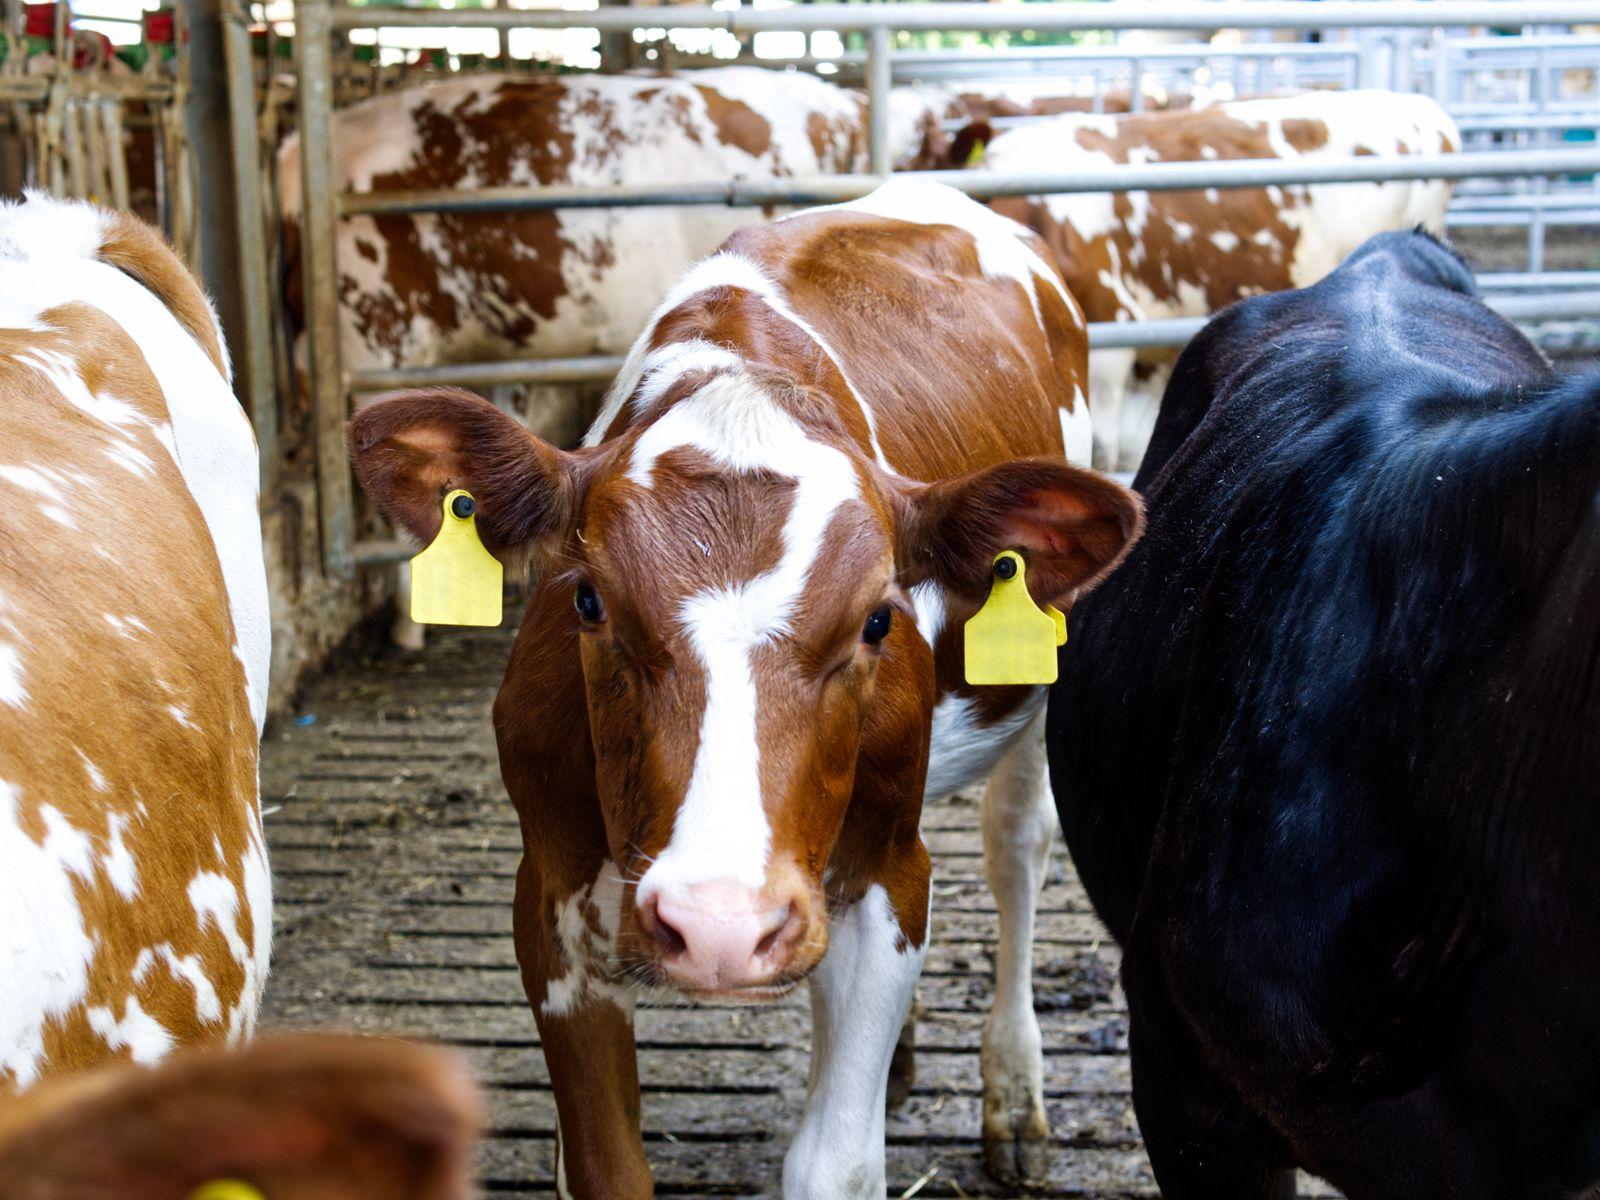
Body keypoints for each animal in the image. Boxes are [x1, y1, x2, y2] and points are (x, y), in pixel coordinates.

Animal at [347, 178, 1143, 1196]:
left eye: (878, 619)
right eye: (588, 599)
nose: (719, 927)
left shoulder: (888, 877)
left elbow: (831, 1164)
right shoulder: (551, 897)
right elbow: (605, 1164)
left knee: (1017, 848)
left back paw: (1013, 1094)